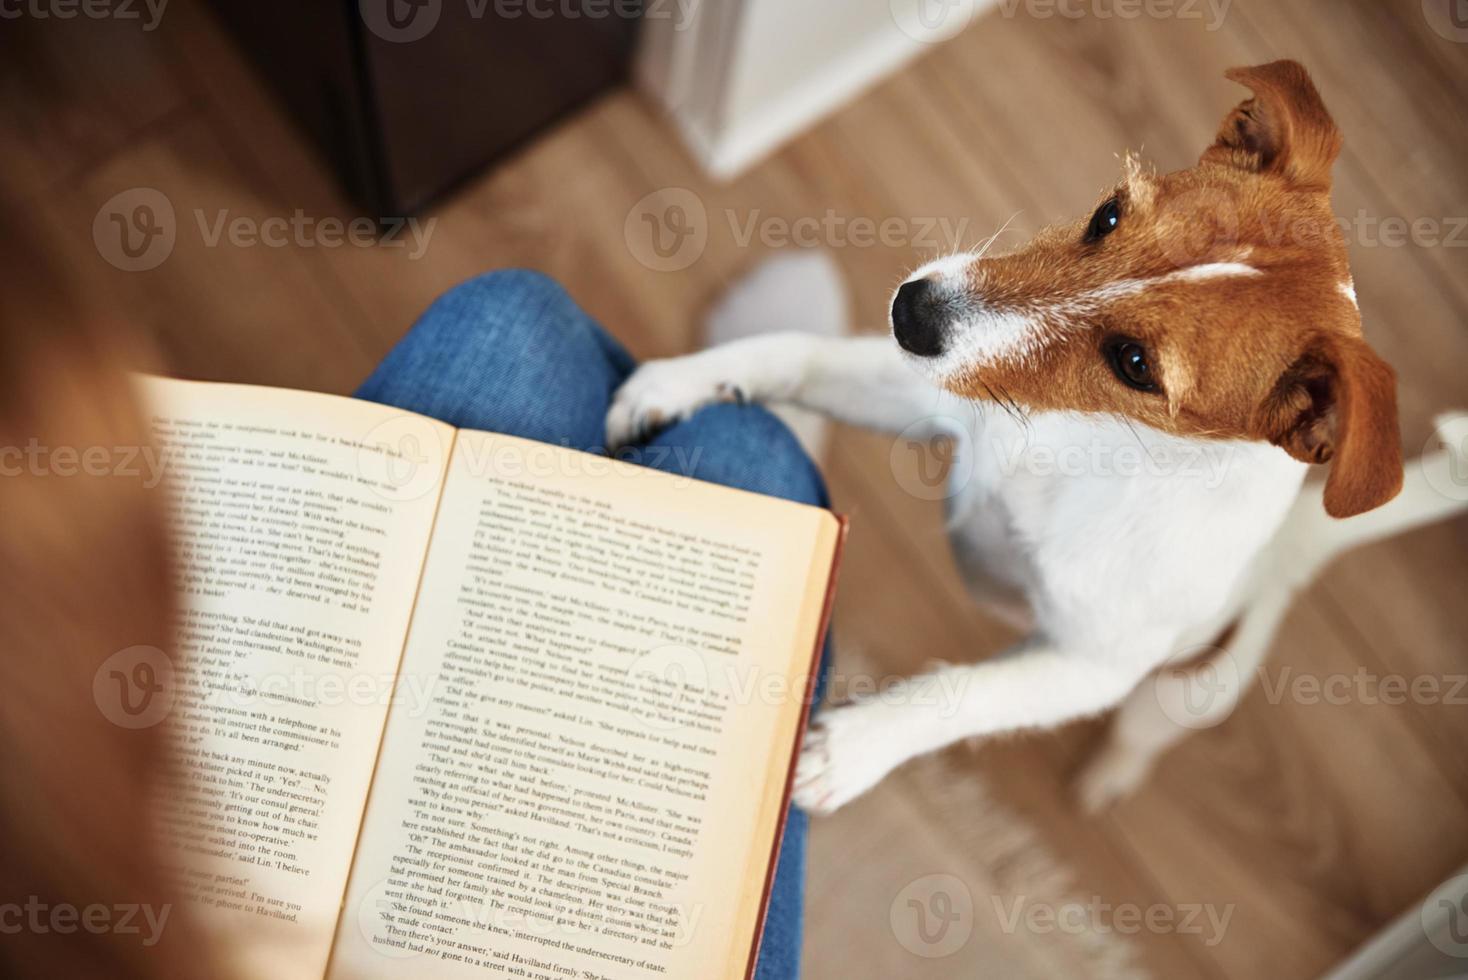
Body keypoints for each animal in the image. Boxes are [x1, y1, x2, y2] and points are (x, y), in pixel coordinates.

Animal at [604, 57, 1456, 815]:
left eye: (1135, 363)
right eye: (1108, 214)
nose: (909, 312)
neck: (1084, 446)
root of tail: (1301, 547)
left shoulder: (1087, 666)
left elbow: (965, 692)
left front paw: (849, 750)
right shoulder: (935, 397)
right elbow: (794, 352)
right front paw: (677, 382)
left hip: (1193, 691)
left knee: (1140, 734)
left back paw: (1107, 779)